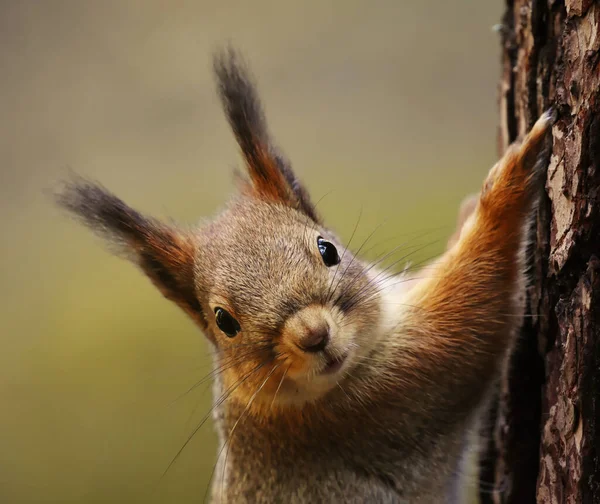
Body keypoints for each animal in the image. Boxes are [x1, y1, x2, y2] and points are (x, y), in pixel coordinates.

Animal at [55, 48, 552, 504]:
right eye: (223, 321)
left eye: (326, 249)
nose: (313, 335)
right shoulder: (389, 398)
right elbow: (473, 308)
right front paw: (510, 184)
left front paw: (469, 210)